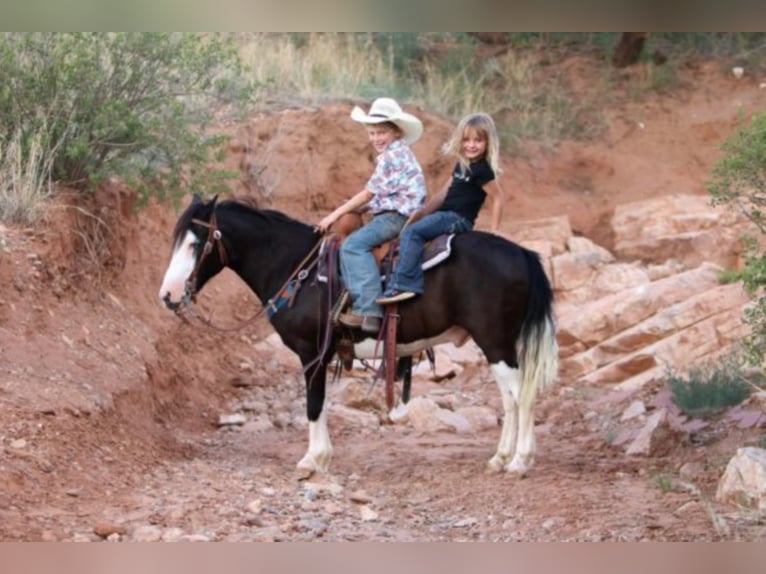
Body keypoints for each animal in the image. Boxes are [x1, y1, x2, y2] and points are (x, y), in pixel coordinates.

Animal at [159, 196, 560, 480]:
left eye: (196, 243)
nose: (167, 295)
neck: (297, 269)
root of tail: (523, 253)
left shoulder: (311, 351)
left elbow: (313, 404)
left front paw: (312, 460)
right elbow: (319, 404)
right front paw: (321, 457)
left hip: (495, 342)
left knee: (520, 396)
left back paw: (519, 461)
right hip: (499, 345)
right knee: (510, 398)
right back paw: (500, 458)